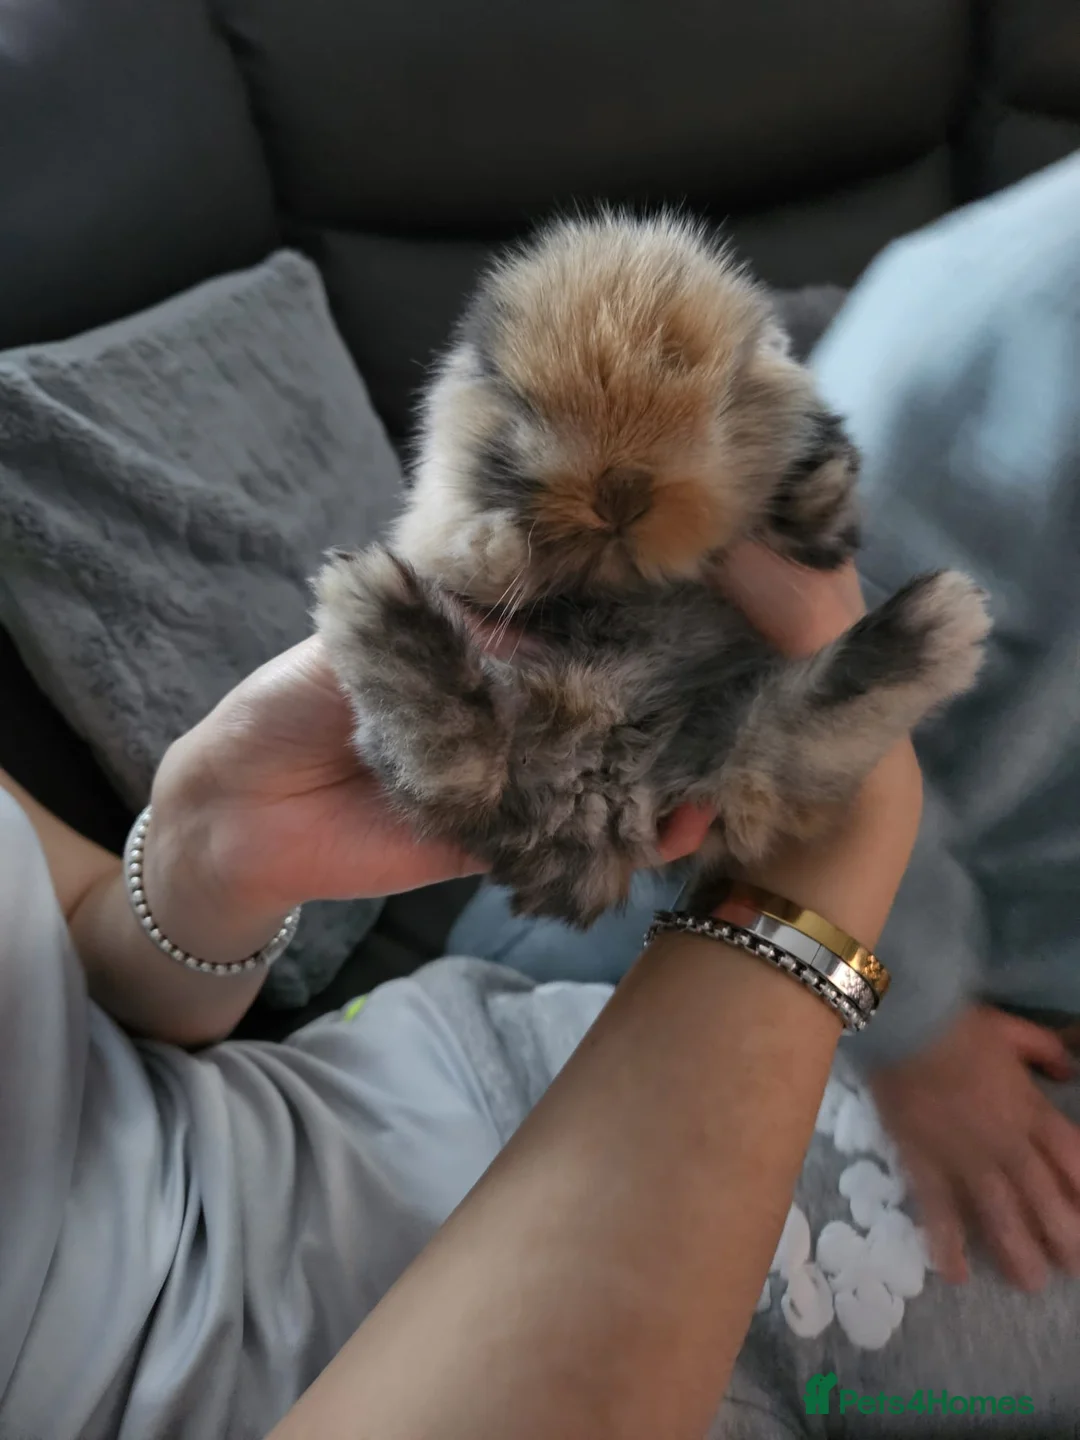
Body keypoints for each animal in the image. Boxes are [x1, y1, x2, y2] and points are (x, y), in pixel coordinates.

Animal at [315, 212, 990, 927]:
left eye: (725, 397)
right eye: (518, 401)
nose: (621, 491)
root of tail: (595, 792)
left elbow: (826, 515)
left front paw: (817, 482)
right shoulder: (435, 527)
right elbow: (467, 550)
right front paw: (501, 543)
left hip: (730, 742)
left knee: (781, 749)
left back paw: (935, 625)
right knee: (456, 762)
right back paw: (371, 601)